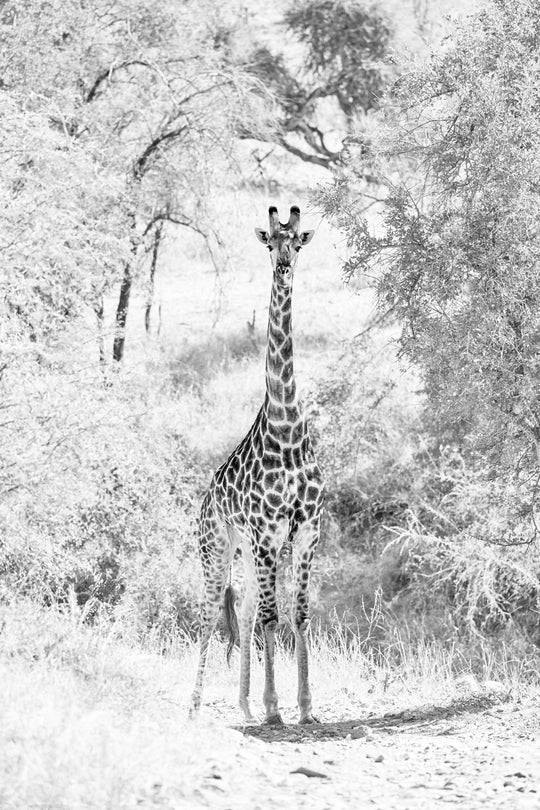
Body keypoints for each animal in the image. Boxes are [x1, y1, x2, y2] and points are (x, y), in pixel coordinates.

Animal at [190, 205, 324, 725]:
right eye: (270, 241)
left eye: (298, 242)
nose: (283, 268)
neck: (286, 431)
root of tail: (205, 498)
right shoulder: (268, 535)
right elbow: (271, 617)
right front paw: (274, 708)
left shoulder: (306, 534)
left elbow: (298, 616)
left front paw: (304, 707)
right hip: (217, 547)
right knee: (210, 611)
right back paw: (197, 705)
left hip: (246, 552)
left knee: (243, 610)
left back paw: (243, 705)